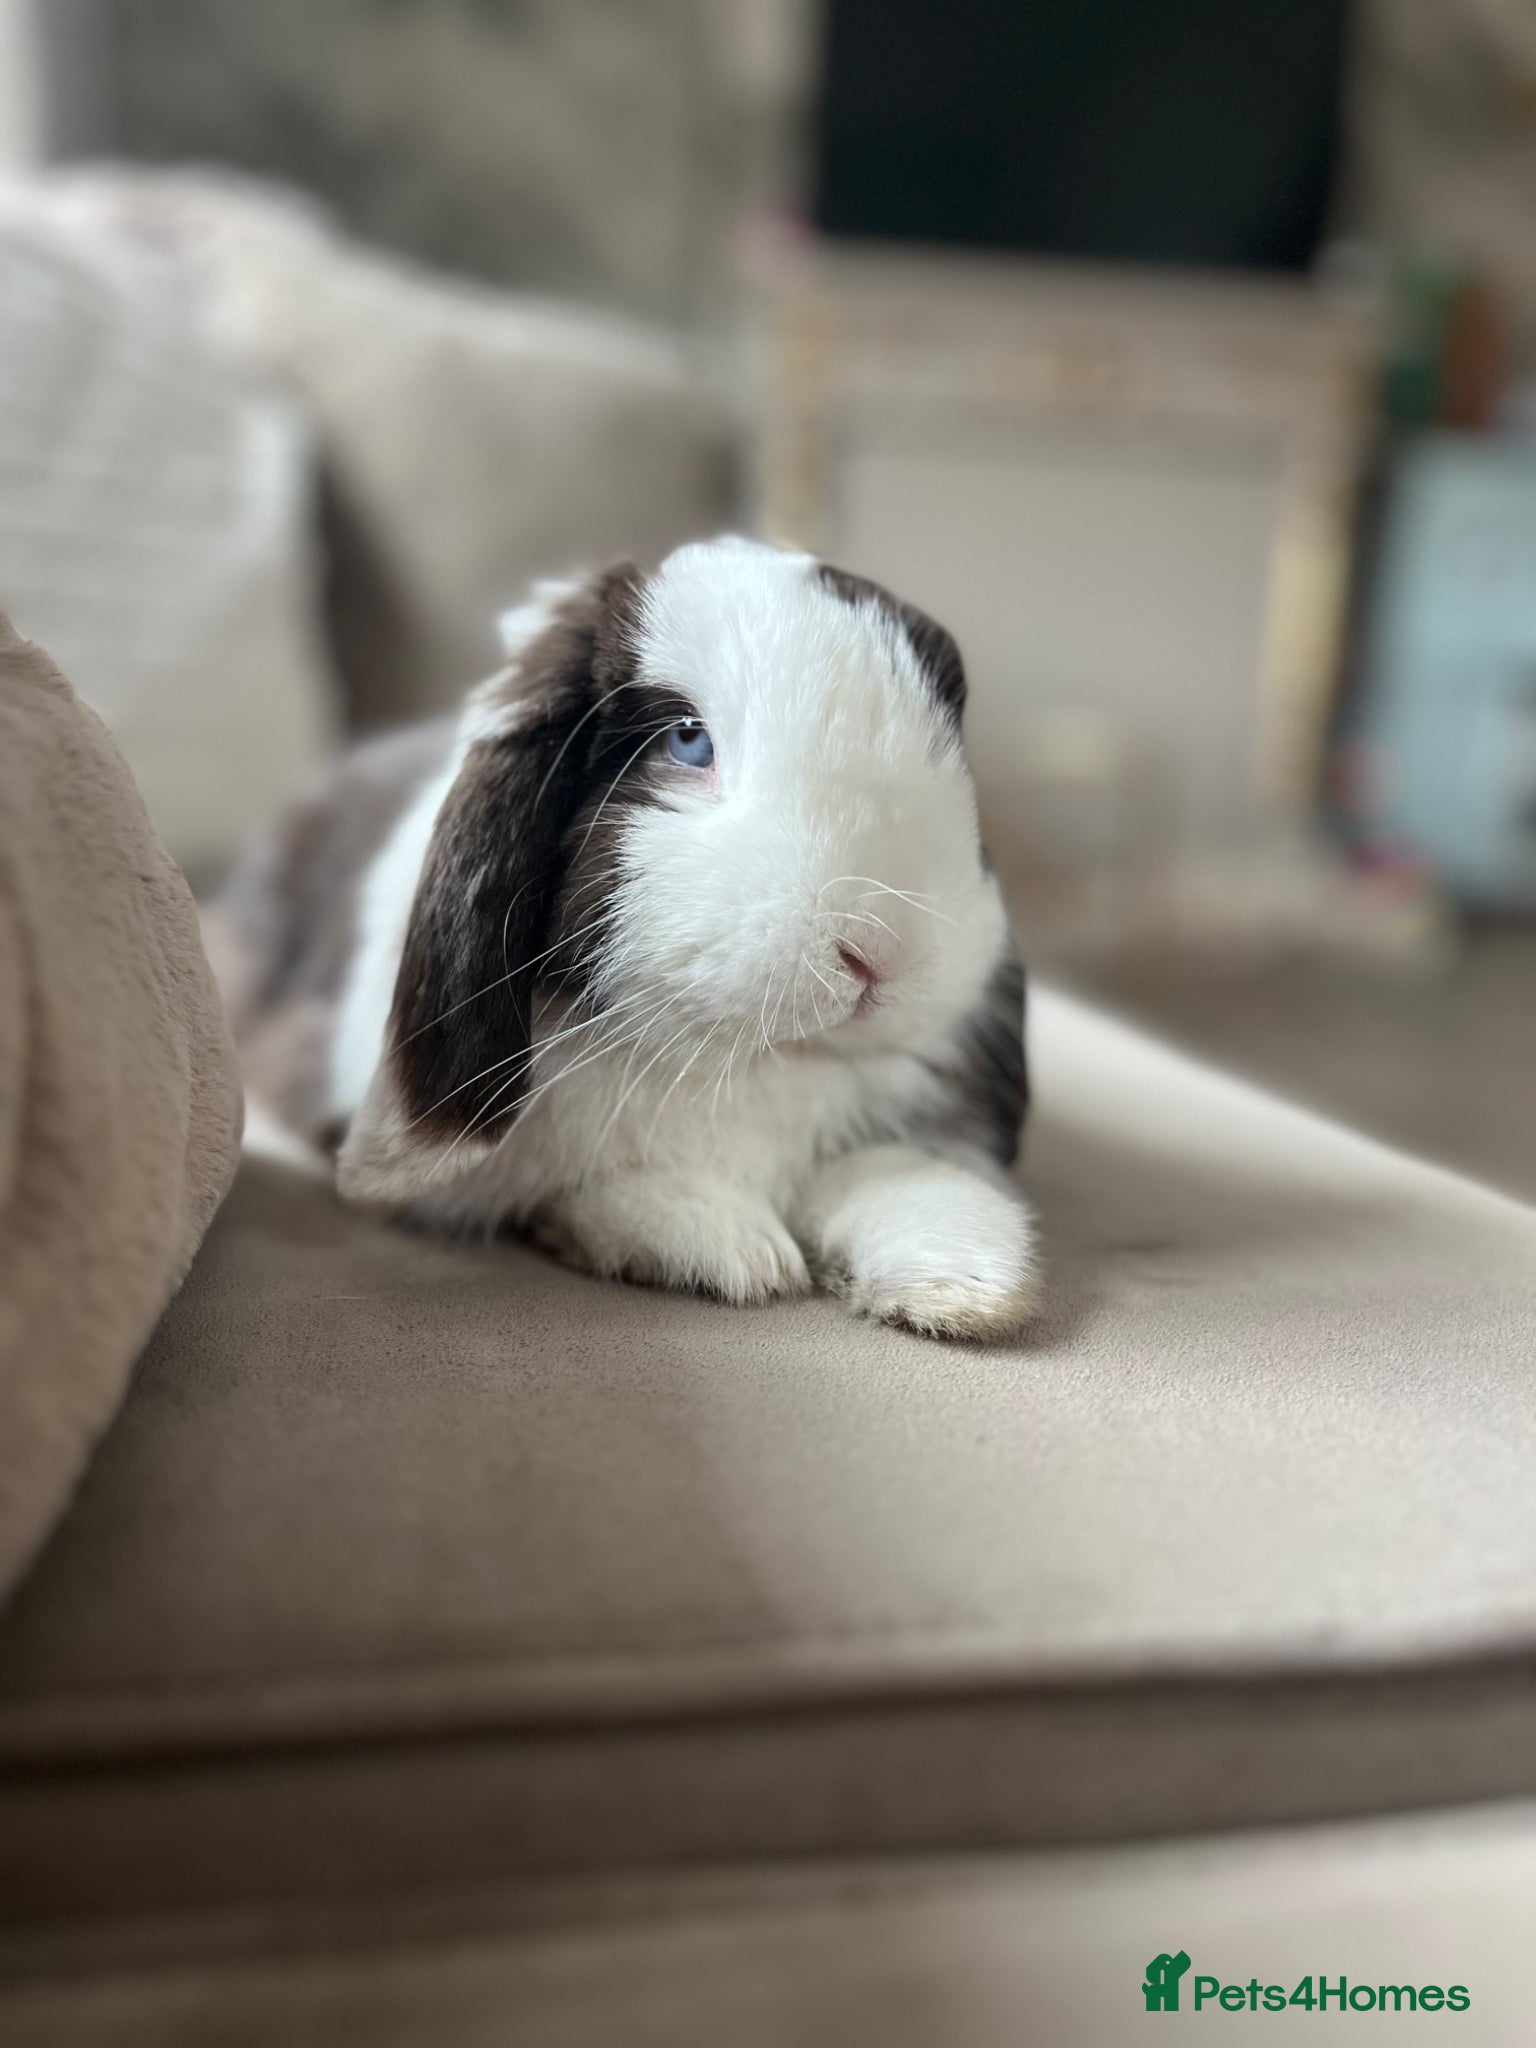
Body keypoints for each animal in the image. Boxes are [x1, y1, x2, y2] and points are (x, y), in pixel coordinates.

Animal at [216, 536, 1037, 1338]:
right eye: (687, 740)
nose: (880, 951)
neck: (748, 1061)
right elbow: (597, 1189)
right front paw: (732, 1245)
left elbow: (888, 1173)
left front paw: (963, 1277)